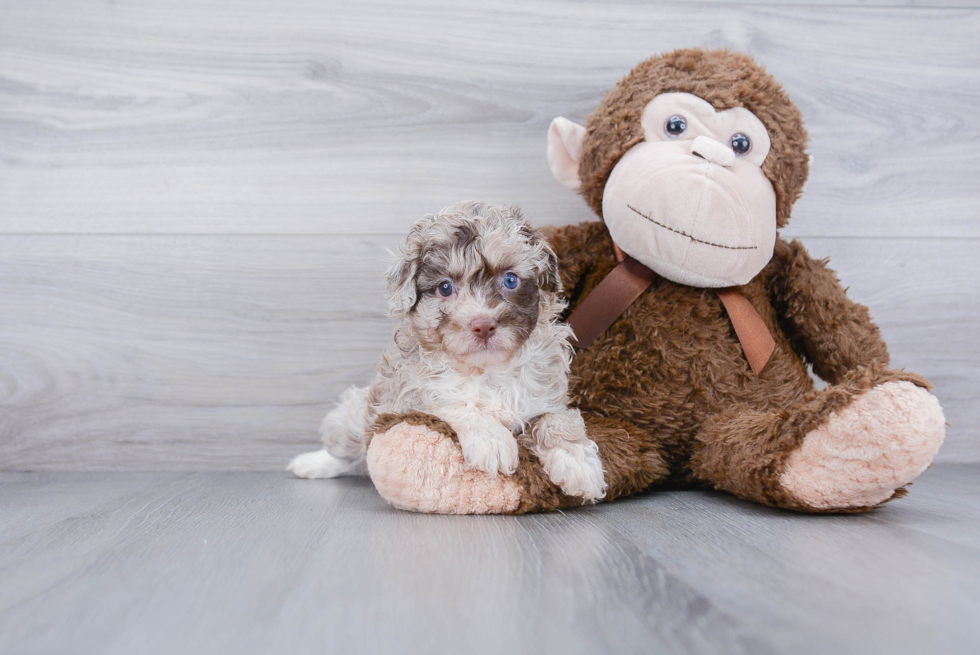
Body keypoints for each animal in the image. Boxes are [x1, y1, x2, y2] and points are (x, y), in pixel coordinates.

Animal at [286, 200, 604, 502]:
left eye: (510, 280)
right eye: (445, 288)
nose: (483, 325)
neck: (485, 369)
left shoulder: (546, 397)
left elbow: (557, 419)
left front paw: (577, 462)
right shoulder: (404, 395)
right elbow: (450, 398)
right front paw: (491, 440)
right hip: (357, 417)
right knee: (347, 449)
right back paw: (311, 464)